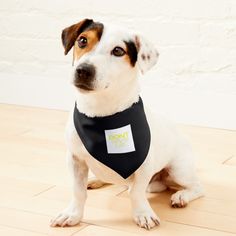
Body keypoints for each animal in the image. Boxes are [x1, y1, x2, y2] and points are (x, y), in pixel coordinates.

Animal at [50, 19, 204, 230]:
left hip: (179, 170)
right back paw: (95, 180)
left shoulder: (144, 166)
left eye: (118, 51)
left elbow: (136, 192)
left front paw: (143, 214)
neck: (101, 115)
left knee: (196, 187)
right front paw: (72, 214)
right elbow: (78, 191)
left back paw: (181, 196)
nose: (83, 70)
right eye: (82, 40)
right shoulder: (75, 159)